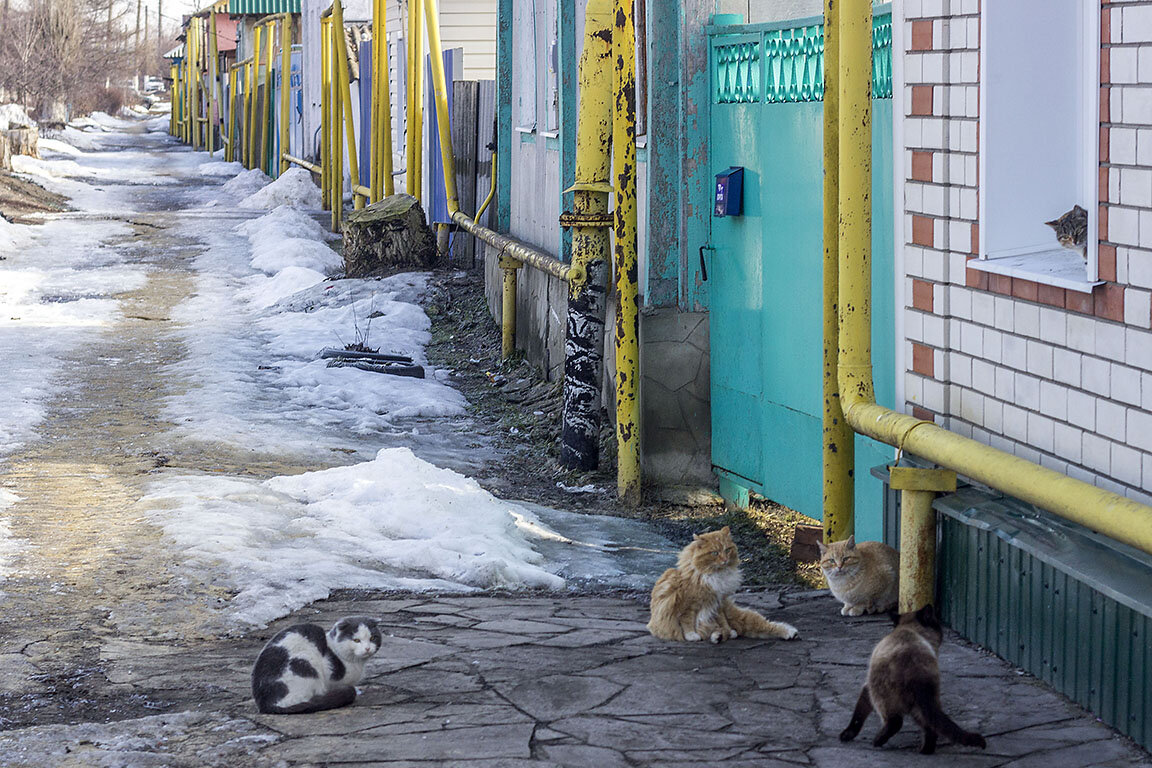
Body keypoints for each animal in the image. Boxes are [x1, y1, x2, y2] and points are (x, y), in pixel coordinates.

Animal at [649, 529, 801, 644]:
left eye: (727, 550)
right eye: (715, 553)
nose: (725, 560)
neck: (716, 575)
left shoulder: (718, 604)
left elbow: (722, 622)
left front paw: (728, 632)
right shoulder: (688, 605)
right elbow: (687, 622)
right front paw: (692, 635)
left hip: (742, 618)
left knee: (768, 626)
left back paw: (790, 633)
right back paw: (718, 636)